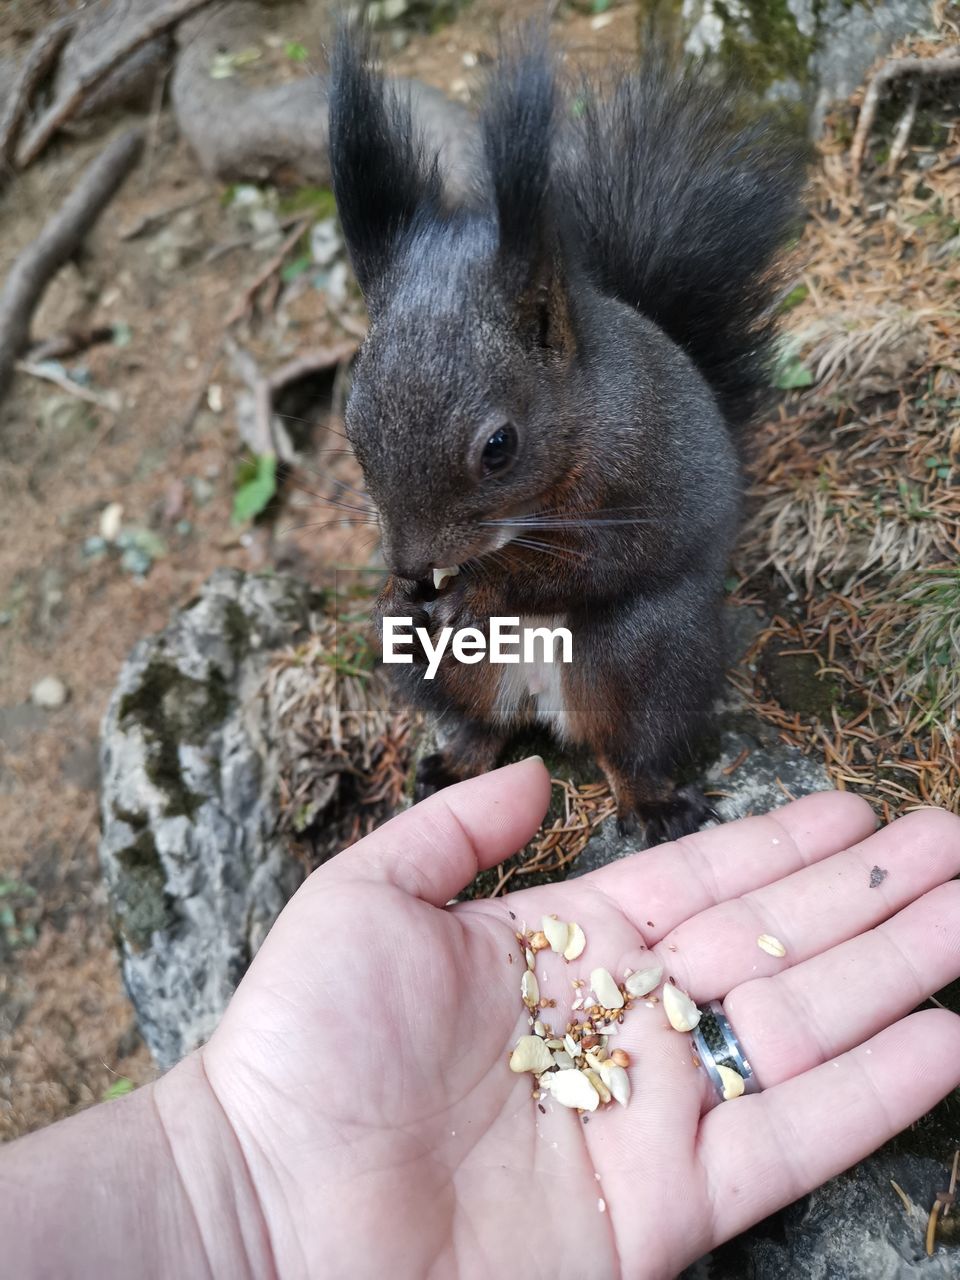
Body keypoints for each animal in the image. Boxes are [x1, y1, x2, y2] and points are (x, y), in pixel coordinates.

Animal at [330, 27, 803, 839]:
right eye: (353, 427)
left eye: (499, 447)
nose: (414, 566)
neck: (579, 414)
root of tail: (544, 705)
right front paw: (400, 595)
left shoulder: (636, 484)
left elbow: (592, 563)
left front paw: (485, 589)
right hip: (451, 675)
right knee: (481, 725)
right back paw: (449, 756)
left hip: (644, 654)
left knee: (630, 744)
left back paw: (651, 803)